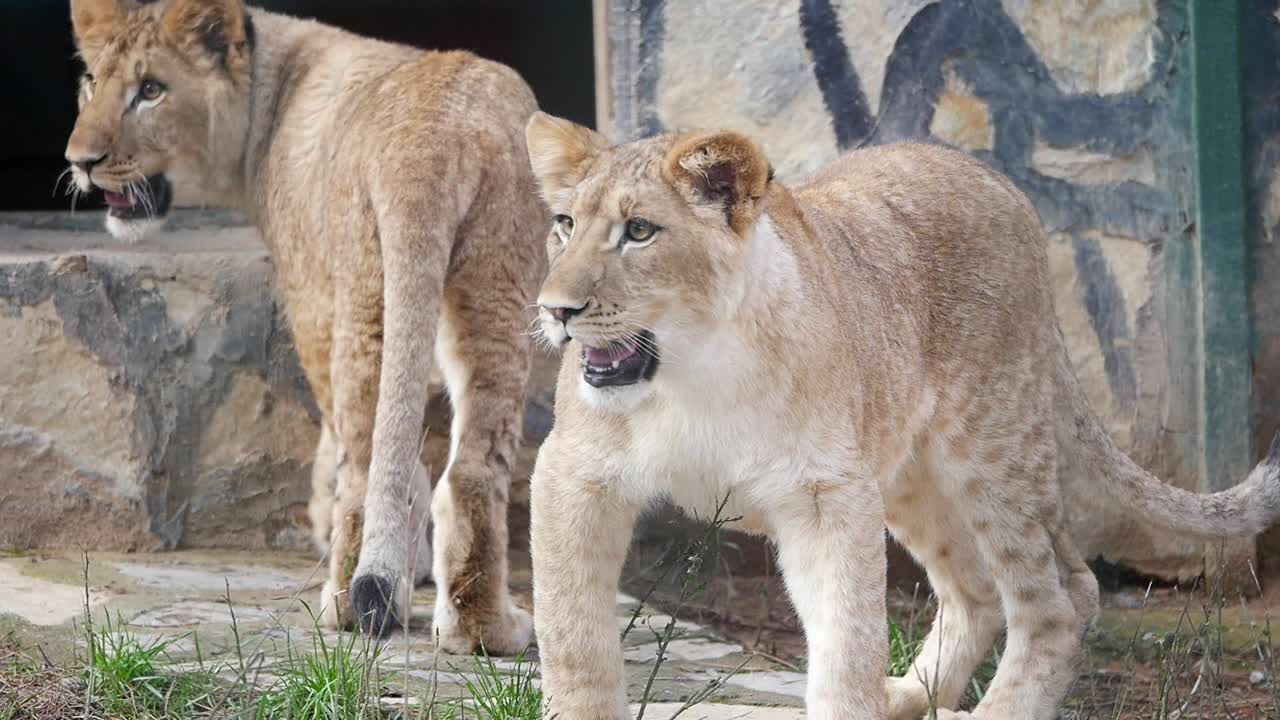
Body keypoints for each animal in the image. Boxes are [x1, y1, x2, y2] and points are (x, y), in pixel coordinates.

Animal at [64, 0, 546, 654]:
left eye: (151, 90)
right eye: (92, 81)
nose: (80, 162)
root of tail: (427, 145)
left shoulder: (311, 297)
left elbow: (341, 443)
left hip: (366, 291)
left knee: (364, 466)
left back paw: (348, 605)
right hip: (495, 283)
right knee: (472, 470)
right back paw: (486, 631)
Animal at [521, 111, 1280, 720]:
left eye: (639, 231)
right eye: (564, 225)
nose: (556, 310)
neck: (692, 371)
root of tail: (1000, 184)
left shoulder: (826, 494)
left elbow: (847, 641)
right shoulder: (571, 475)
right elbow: (574, 638)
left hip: (993, 444)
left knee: (1063, 594)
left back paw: (996, 711)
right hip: (909, 474)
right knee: (978, 590)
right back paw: (908, 696)